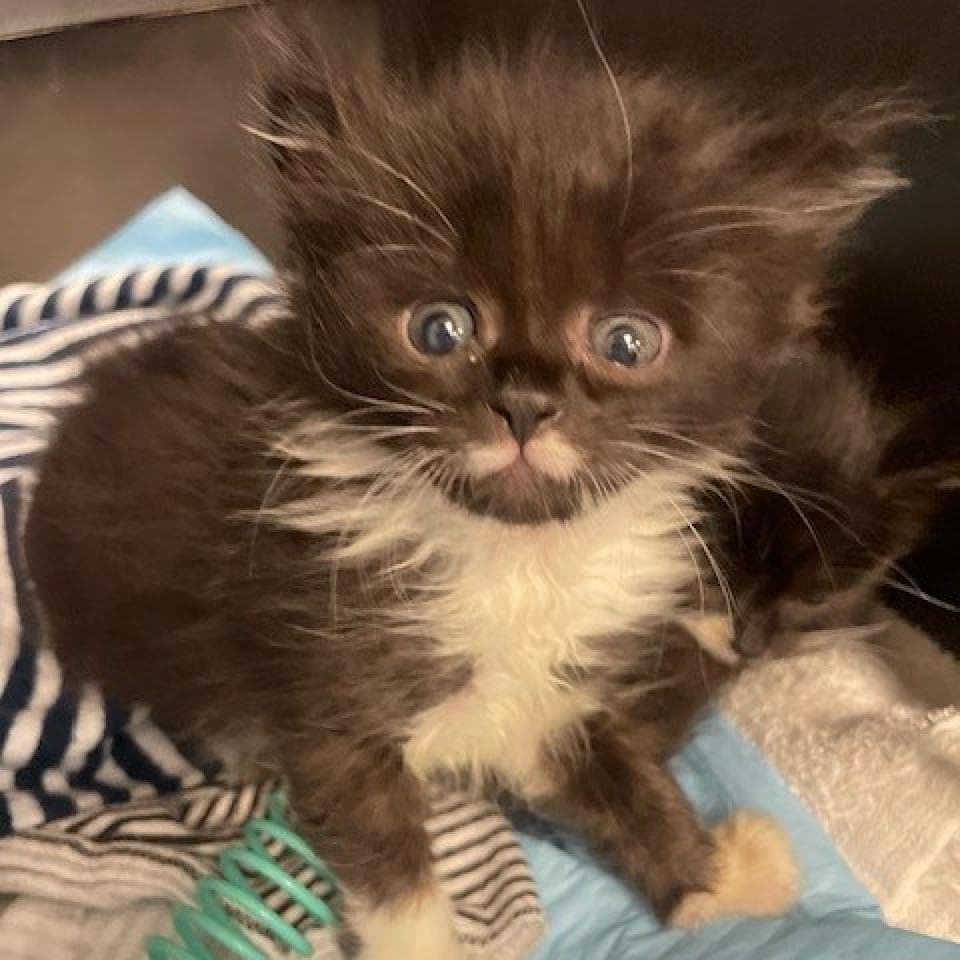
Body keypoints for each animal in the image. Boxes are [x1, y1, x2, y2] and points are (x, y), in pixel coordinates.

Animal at [22, 39, 912, 960]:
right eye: (439, 329)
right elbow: (387, 855)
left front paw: (715, 876)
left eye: (628, 342)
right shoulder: (327, 680)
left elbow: (620, 775)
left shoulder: (546, 695)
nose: (523, 403)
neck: (513, 557)